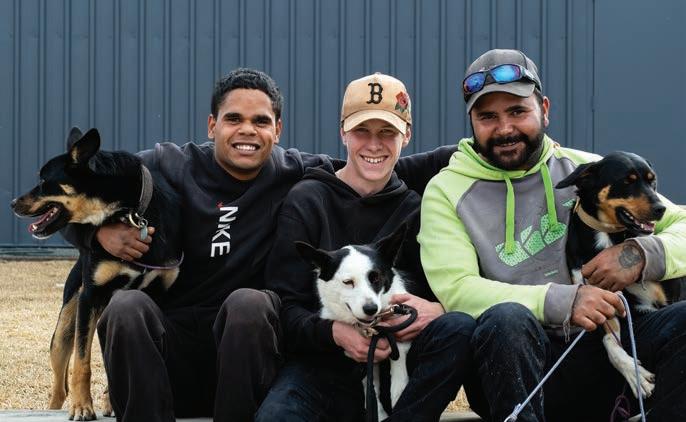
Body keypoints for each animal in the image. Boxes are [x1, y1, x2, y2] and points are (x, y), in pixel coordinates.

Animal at [11, 127, 182, 420]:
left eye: (44, 180)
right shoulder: (90, 297)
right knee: (59, 387)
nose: (12, 203)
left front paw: (108, 401)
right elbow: (82, 363)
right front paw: (82, 406)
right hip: (64, 332)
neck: (129, 214)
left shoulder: (159, 294)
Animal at [295, 226, 411, 421]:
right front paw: (379, 414)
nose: (371, 309)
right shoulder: (364, 357)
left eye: (376, 278)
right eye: (348, 282)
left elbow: (398, 383)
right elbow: (371, 391)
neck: (373, 329)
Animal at [556, 151, 667, 399]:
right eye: (627, 181)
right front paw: (635, 375)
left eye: (652, 180)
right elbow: (611, 344)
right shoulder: (599, 302)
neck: (609, 236)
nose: (661, 208)